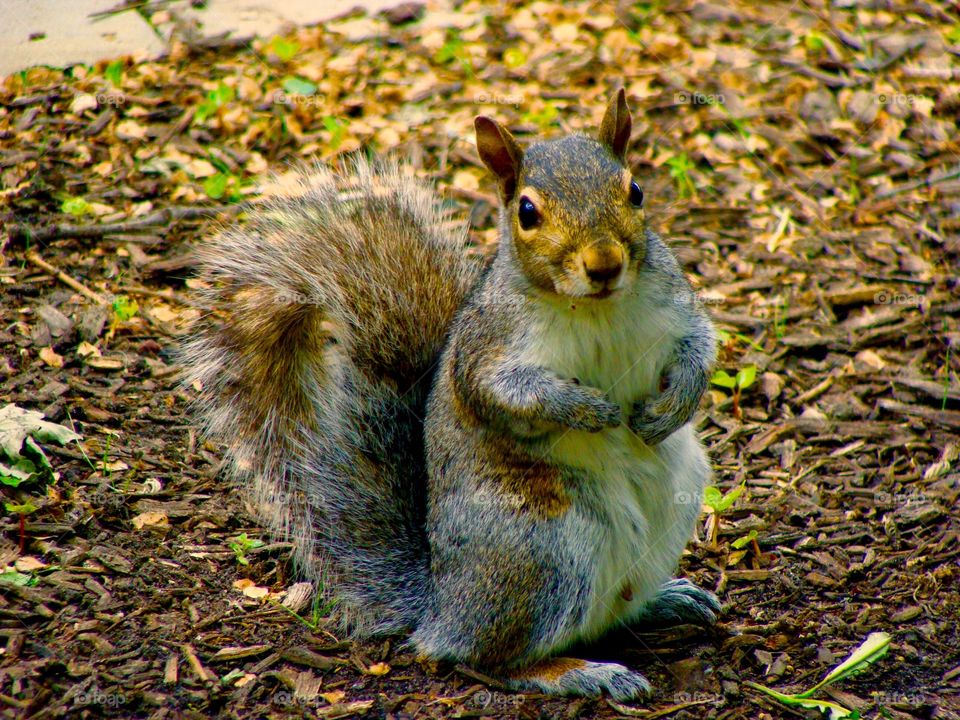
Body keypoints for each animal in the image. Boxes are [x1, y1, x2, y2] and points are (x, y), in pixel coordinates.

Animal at [182, 87, 720, 700]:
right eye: (527, 213)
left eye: (634, 190)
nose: (604, 263)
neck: (596, 307)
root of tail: (441, 604)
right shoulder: (487, 349)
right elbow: (505, 394)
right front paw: (587, 409)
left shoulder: (675, 305)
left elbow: (700, 347)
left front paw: (673, 406)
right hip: (539, 546)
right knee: (489, 657)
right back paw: (581, 671)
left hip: (671, 502)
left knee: (613, 612)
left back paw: (666, 600)